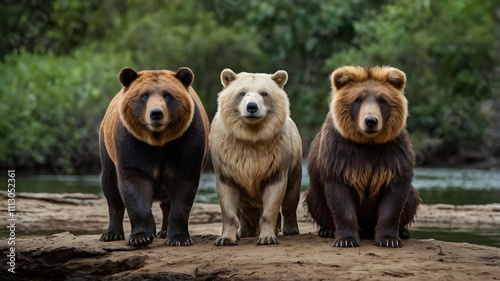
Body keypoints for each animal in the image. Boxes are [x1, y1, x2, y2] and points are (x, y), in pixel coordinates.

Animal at [98, 66, 208, 246]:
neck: (158, 141)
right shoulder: (133, 143)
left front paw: (179, 238)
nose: (156, 113)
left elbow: (182, 187)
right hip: (106, 148)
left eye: (168, 95)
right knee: (109, 185)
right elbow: (134, 183)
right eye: (144, 95)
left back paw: (164, 231)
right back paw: (111, 233)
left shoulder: (186, 141)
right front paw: (141, 236)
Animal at [210, 68, 300, 245]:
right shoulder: (227, 160)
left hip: (295, 163)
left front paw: (267, 237)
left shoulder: (275, 161)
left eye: (264, 93)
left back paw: (290, 229)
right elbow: (228, 202)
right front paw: (225, 238)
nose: (252, 107)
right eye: (241, 93)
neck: (251, 137)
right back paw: (244, 232)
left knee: (291, 197)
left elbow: (273, 201)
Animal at [306, 65, 420, 247]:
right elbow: (340, 199)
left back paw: (403, 231)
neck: (368, 143)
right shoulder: (340, 157)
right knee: (314, 201)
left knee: (412, 198)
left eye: (382, 100)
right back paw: (327, 229)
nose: (371, 121)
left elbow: (394, 200)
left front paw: (389, 239)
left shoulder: (392, 156)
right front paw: (346, 240)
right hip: (315, 192)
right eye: (358, 100)